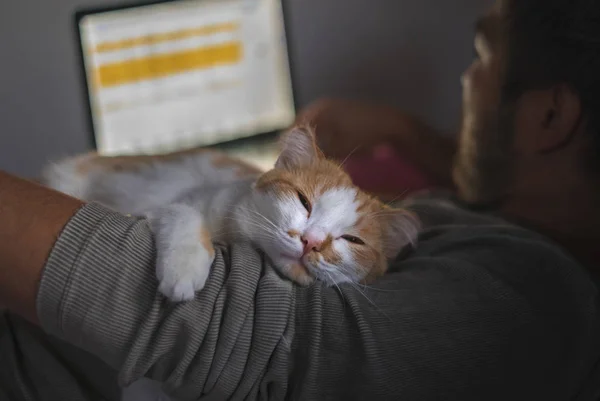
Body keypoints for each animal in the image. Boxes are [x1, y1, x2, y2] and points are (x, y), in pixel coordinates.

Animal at [42, 125, 420, 300]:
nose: (311, 242)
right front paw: (184, 269)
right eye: (303, 201)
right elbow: (186, 217)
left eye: (353, 240)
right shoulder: (168, 205)